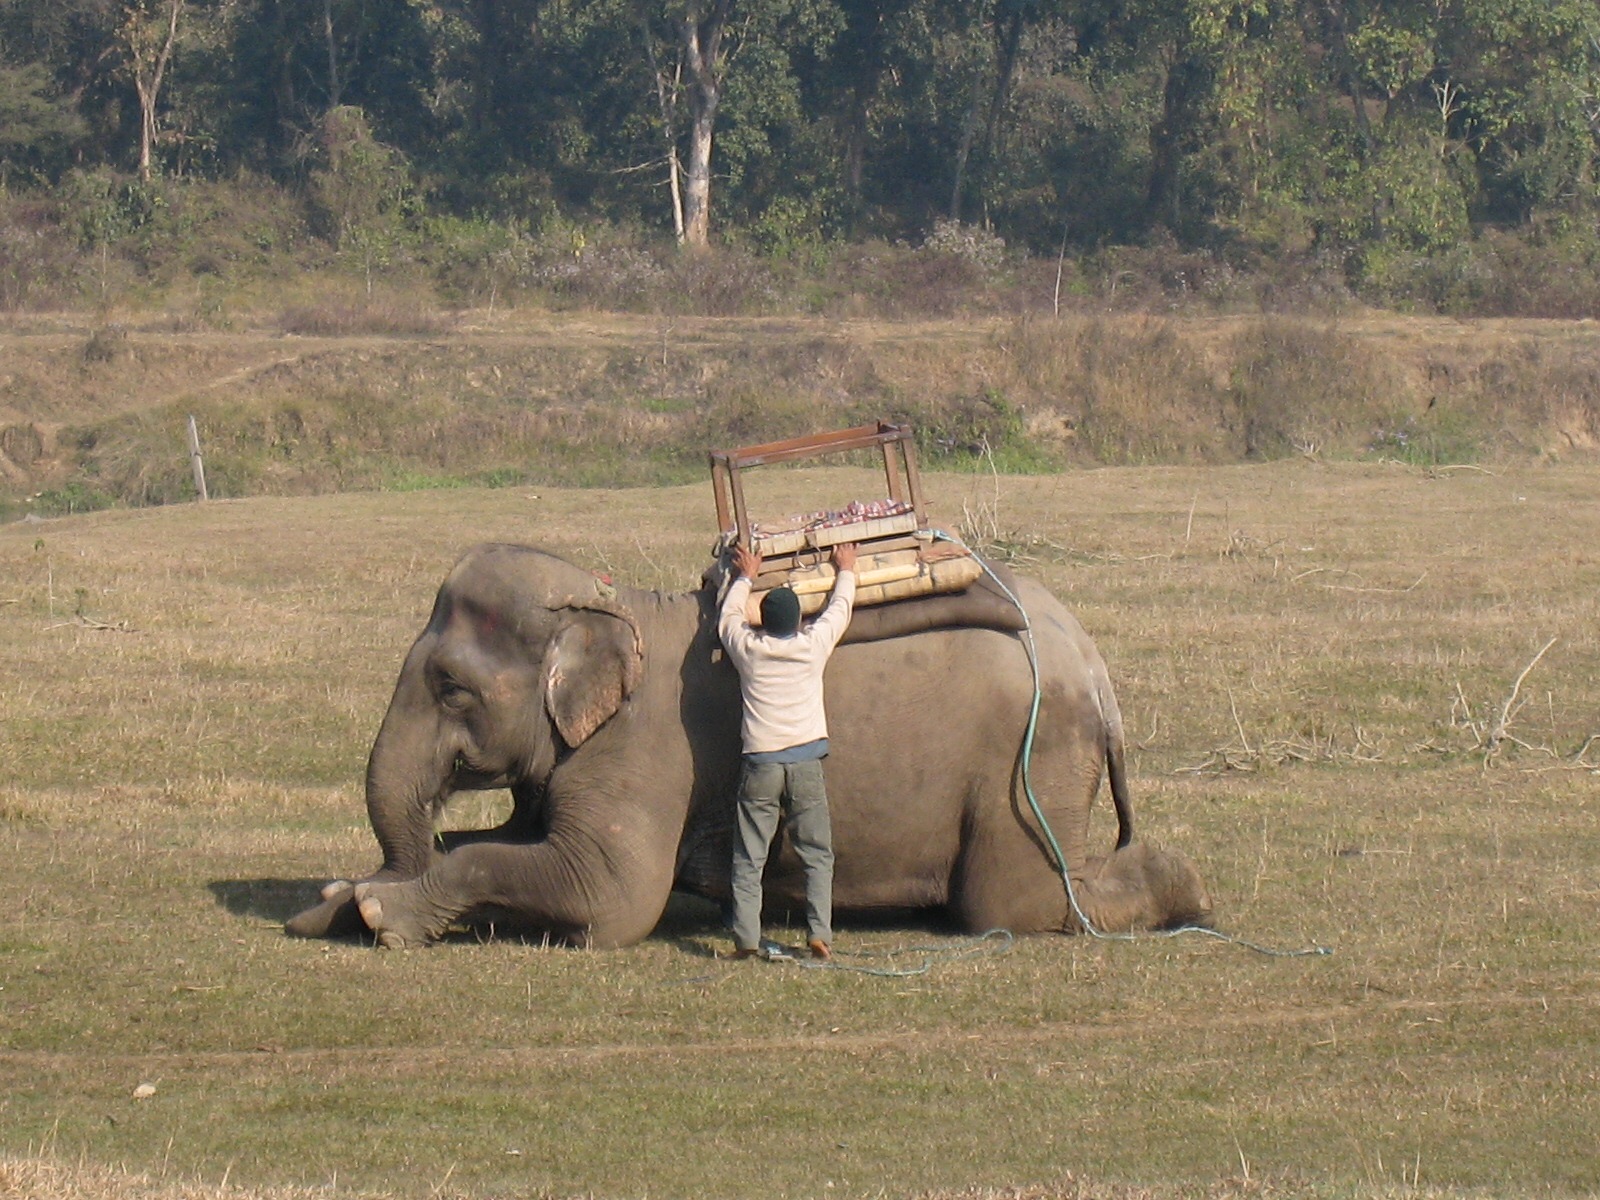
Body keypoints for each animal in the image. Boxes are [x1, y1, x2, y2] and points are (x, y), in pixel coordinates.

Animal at [288, 544, 1209, 947]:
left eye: (450, 685)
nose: (354, 888)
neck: (615, 604)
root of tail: (1093, 663)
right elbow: (512, 841)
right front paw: (339, 900)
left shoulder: (645, 754)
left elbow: (610, 899)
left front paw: (379, 913)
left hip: (1031, 766)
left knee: (1013, 906)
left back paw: (1186, 887)